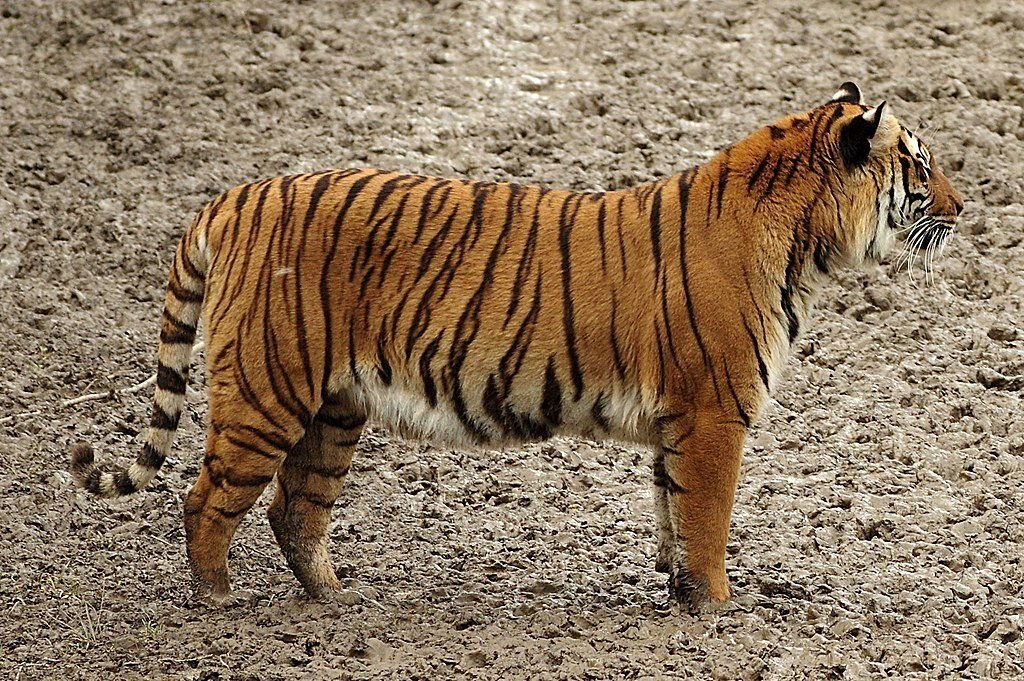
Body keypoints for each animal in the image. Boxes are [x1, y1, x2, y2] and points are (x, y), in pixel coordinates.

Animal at [70, 82, 958, 606]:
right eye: (919, 165)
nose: (965, 204)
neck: (807, 241)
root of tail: (236, 195)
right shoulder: (714, 413)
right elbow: (707, 517)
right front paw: (716, 607)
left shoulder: (679, 422)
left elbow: (671, 511)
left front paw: (678, 593)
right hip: (268, 390)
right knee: (205, 499)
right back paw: (218, 599)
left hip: (334, 406)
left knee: (296, 507)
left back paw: (338, 597)